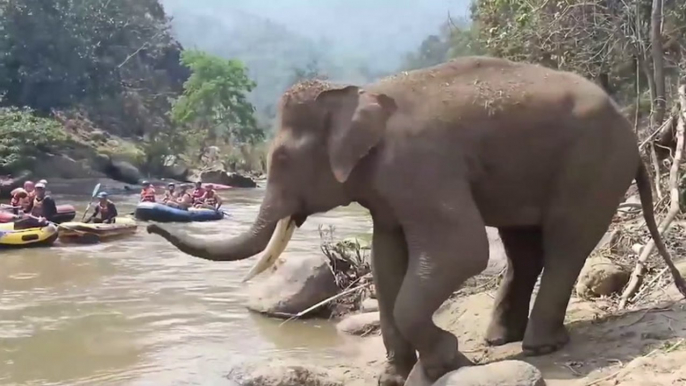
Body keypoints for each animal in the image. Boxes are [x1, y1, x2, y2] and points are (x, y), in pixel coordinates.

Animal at [146, 55, 686, 384]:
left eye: (280, 160)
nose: (149, 224)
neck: (359, 95)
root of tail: (637, 136)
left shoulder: (420, 165)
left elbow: (461, 249)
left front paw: (445, 361)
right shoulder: (387, 192)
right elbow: (387, 260)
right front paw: (394, 375)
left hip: (592, 166)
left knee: (565, 244)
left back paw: (538, 348)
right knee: (523, 246)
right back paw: (500, 339)